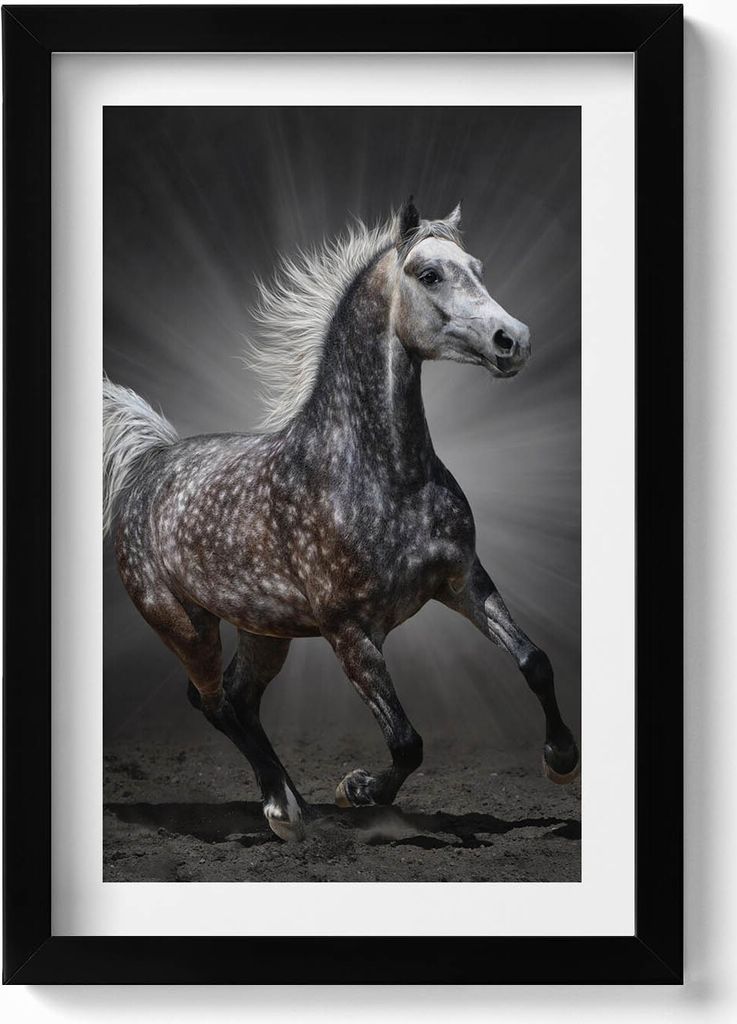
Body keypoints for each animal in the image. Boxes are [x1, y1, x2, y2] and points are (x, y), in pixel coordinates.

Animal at [103, 199, 580, 842]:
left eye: (477, 268)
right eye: (429, 274)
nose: (515, 341)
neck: (382, 475)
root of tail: (149, 463)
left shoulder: (464, 580)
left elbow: (535, 662)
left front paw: (561, 760)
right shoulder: (348, 631)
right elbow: (406, 742)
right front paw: (357, 790)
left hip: (264, 631)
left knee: (238, 700)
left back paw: (292, 801)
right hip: (184, 625)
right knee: (213, 700)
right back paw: (283, 810)